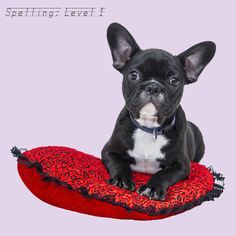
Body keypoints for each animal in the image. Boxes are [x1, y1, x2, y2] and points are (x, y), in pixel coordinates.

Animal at [101, 22, 216, 200]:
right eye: (134, 75)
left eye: (174, 81)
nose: (153, 86)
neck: (149, 127)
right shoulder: (108, 151)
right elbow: (118, 163)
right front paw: (121, 179)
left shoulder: (182, 165)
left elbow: (164, 174)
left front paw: (152, 188)